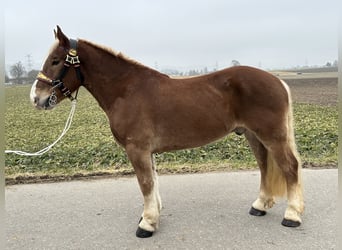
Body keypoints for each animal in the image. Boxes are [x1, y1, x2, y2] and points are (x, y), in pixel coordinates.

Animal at [30, 26, 304, 237]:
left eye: (55, 61)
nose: (36, 98)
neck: (126, 90)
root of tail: (277, 80)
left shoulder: (137, 149)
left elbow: (145, 183)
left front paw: (147, 224)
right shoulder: (146, 151)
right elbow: (153, 181)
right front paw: (151, 215)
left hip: (272, 136)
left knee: (289, 167)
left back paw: (292, 215)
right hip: (253, 135)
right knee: (265, 166)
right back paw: (260, 205)